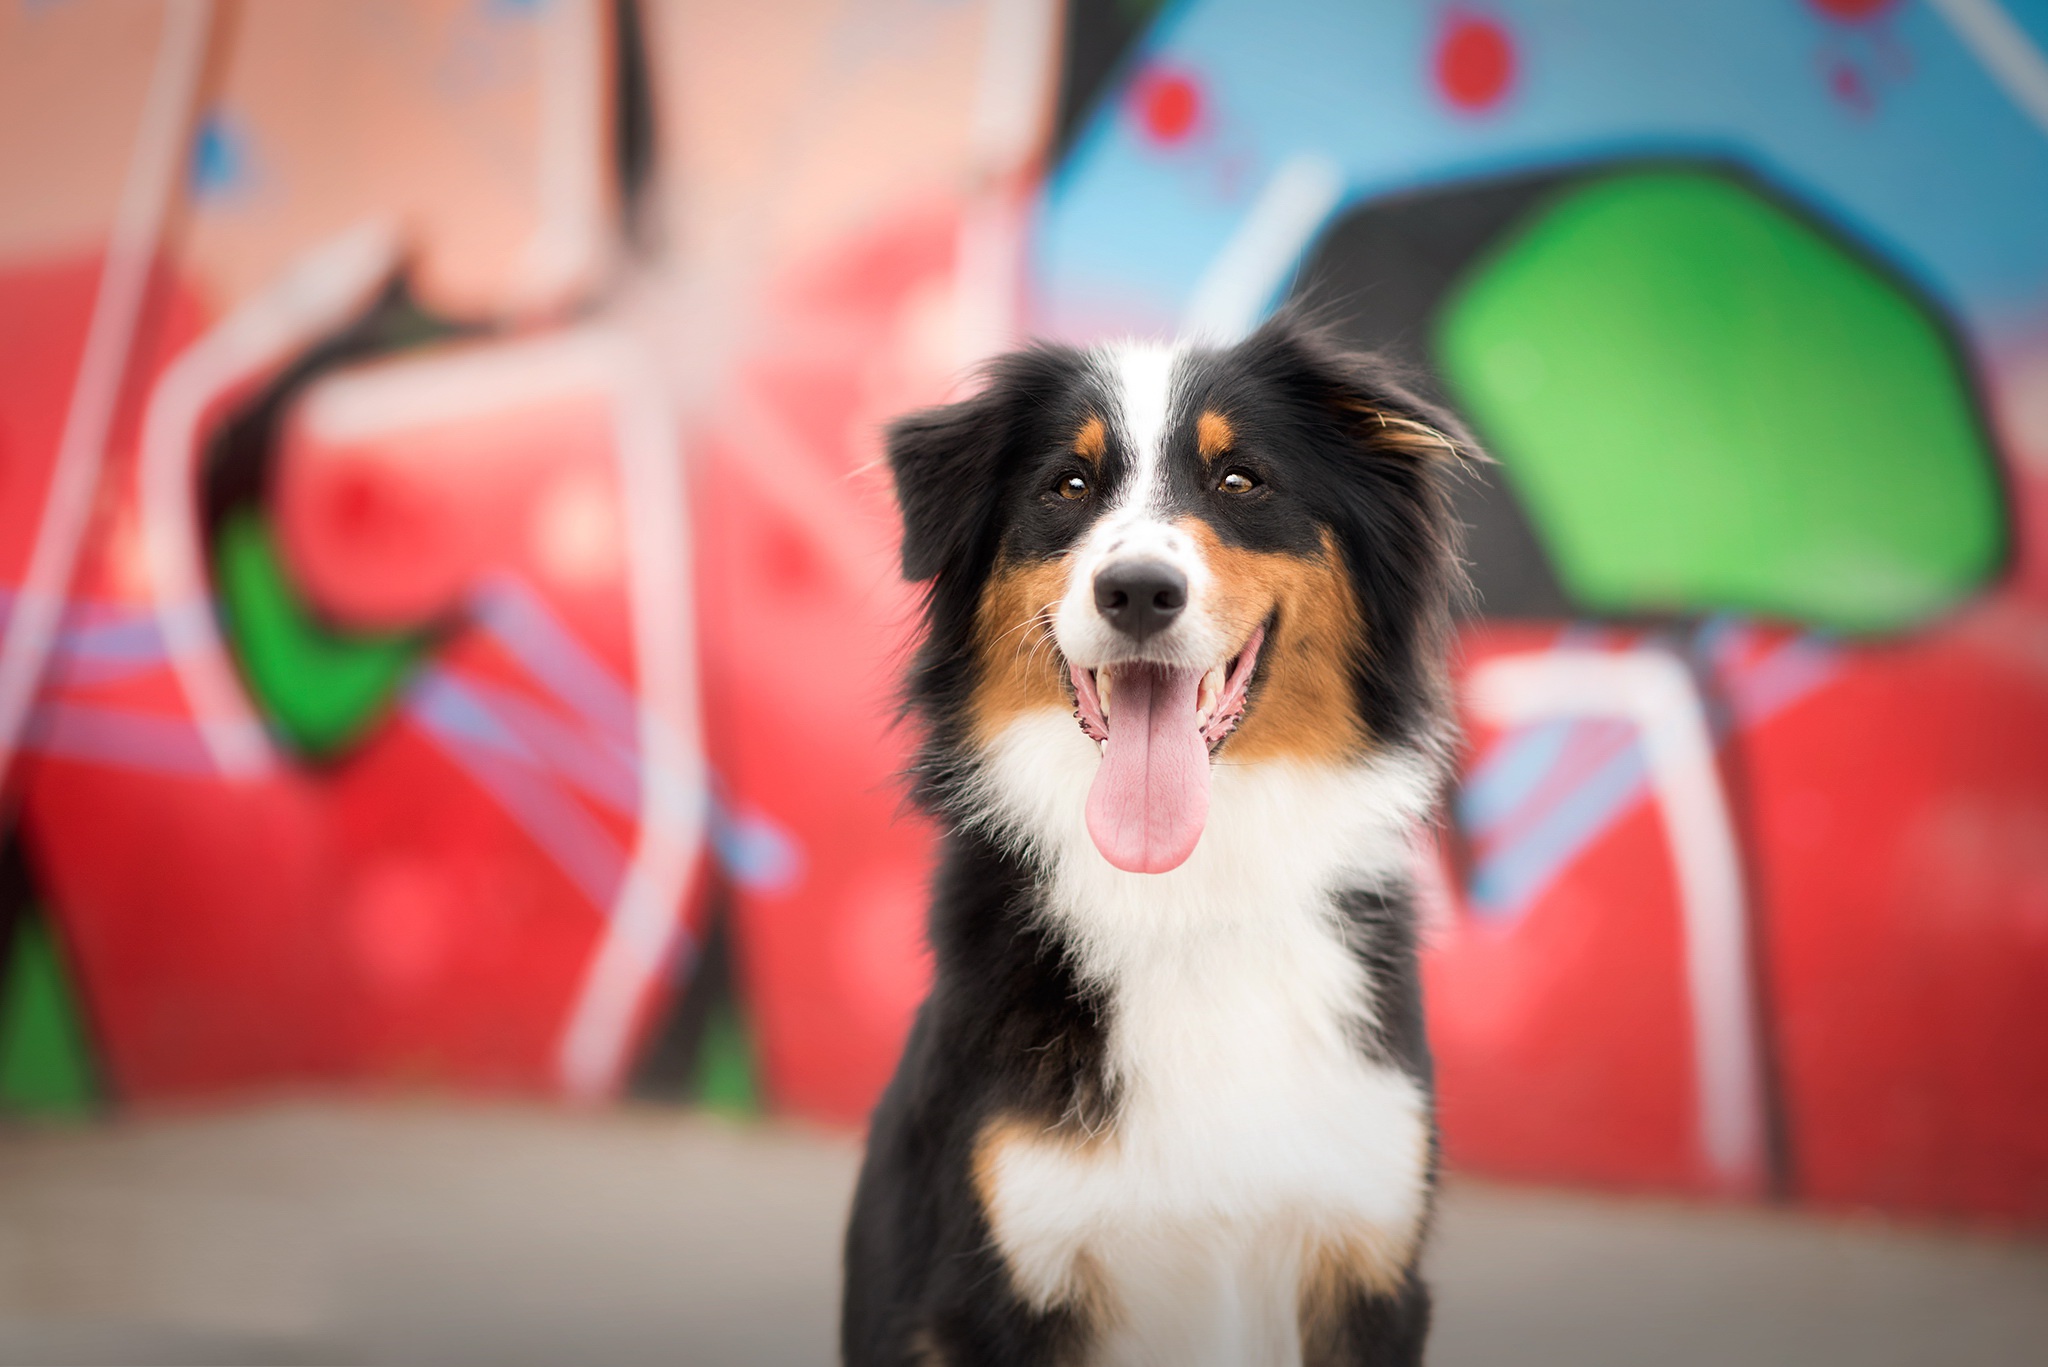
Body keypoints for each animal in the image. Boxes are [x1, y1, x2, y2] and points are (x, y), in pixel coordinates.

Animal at [843, 315, 1474, 1360]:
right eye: (1068, 485)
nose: (1138, 590)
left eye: (1240, 479)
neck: (1184, 891)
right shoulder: (1003, 1285)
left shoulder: (1370, 1257)